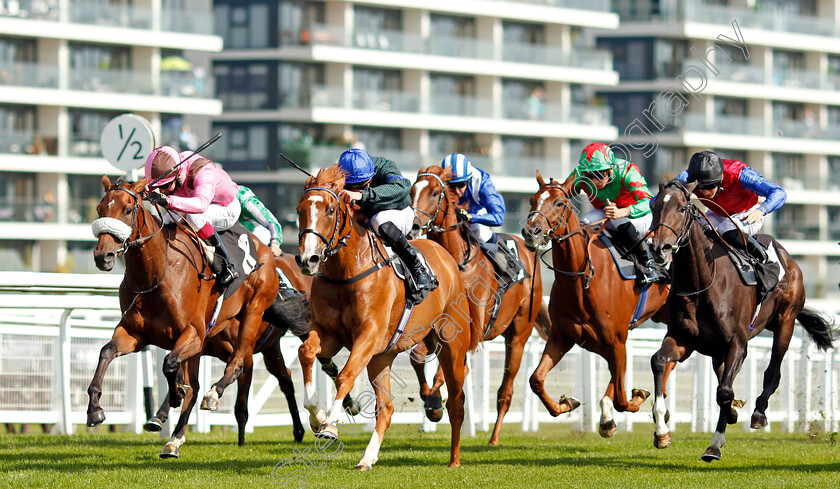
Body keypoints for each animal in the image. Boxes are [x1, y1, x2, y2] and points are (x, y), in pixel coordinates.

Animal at [90, 176, 278, 458]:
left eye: (127, 209)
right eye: (100, 209)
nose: (104, 256)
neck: (156, 275)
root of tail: (266, 249)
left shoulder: (193, 333)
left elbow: (169, 363)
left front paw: (177, 393)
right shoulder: (134, 334)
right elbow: (106, 351)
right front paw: (95, 410)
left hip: (252, 312)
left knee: (237, 364)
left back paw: (212, 395)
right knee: (199, 384)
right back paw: (174, 440)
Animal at [296, 166, 480, 468]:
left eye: (331, 210)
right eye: (300, 210)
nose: (307, 259)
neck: (346, 272)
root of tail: (446, 257)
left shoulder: (368, 334)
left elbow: (345, 376)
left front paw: (331, 423)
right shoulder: (330, 334)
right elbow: (307, 351)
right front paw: (318, 417)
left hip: (452, 345)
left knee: (456, 402)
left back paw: (454, 458)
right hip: (381, 358)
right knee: (387, 407)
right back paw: (367, 457)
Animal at [406, 166, 552, 444]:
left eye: (434, 192)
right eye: (411, 191)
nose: (414, 226)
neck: (456, 264)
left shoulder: (469, 329)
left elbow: (448, 368)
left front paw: (435, 403)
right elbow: (418, 357)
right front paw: (431, 400)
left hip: (518, 335)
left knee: (505, 391)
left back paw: (494, 438)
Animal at [520, 171, 672, 434]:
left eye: (559, 203)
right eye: (532, 200)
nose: (531, 233)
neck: (582, 280)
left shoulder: (616, 340)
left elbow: (623, 398)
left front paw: (638, 396)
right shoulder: (563, 335)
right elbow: (536, 379)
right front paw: (566, 404)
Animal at [648, 179, 832, 462]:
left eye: (681, 208)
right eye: (654, 206)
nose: (660, 248)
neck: (701, 282)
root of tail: (788, 258)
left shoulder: (737, 343)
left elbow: (725, 391)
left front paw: (734, 414)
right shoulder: (683, 340)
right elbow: (658, 361)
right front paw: (662, 433)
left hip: (786, 321)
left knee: (772, 372)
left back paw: (756, 414)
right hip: (717, 351)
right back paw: (716, 440)